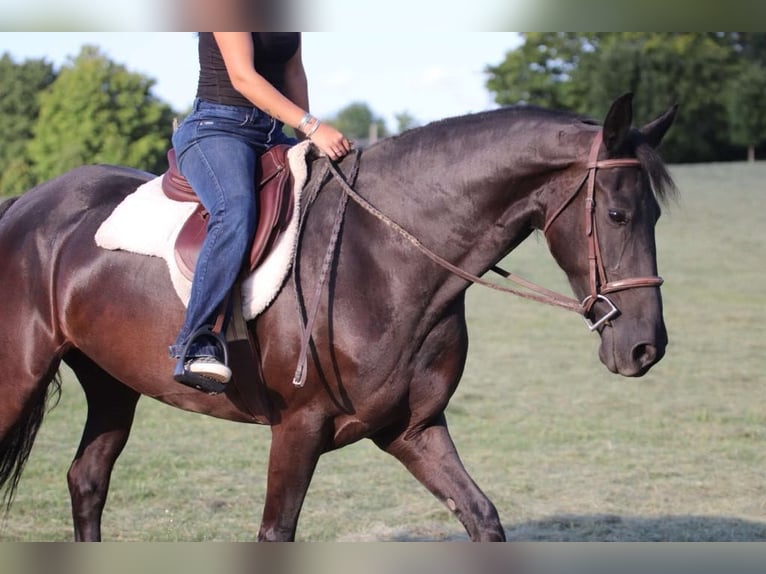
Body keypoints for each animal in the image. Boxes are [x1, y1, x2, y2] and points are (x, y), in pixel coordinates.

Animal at [0, 93, 676, 541]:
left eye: (655, 216)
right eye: (617, 215)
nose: (646, 348)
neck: (385, 256)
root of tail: (26, 204)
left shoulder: (413, 429)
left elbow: (482, 517)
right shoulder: (298, 428)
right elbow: (276, 533)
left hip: (111, 382)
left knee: (87, 481)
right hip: (19, 377)